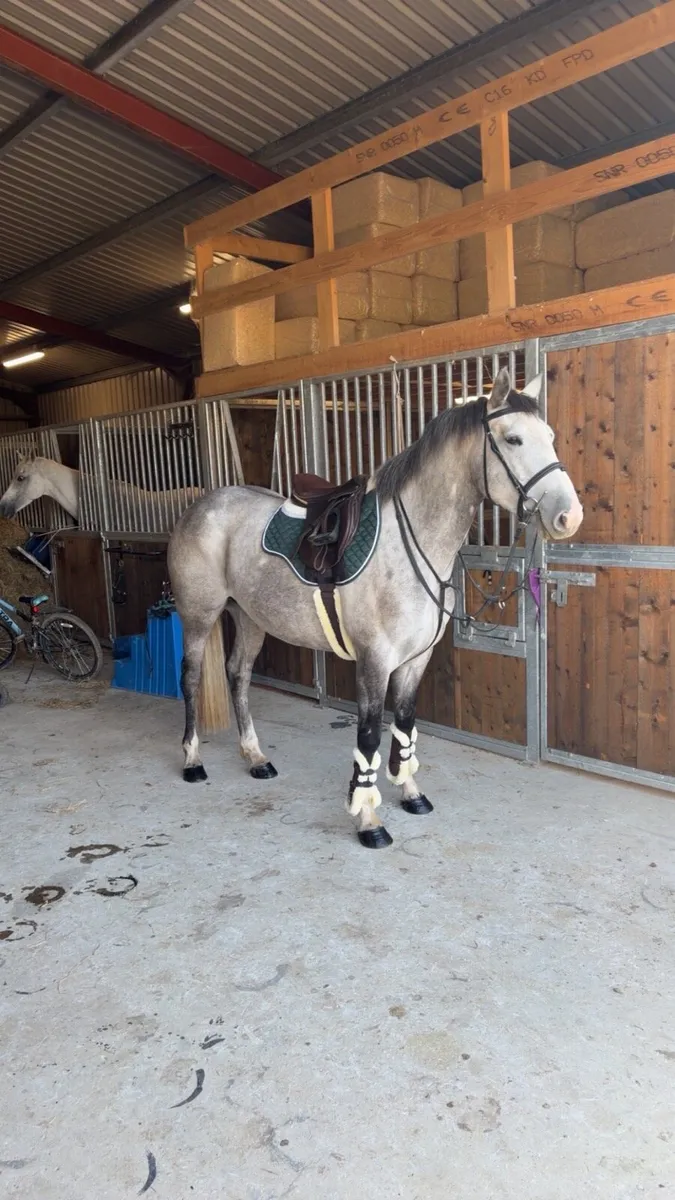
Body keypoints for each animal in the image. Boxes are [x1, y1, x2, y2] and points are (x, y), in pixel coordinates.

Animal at [167, 367, 583, 849]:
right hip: (199, 616)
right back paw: (193, 761)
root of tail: (200, 507)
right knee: (191, 678)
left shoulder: (416, 659)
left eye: (549, 436)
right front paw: (368, 820)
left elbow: (403, 724)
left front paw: (411, 793)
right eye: (514, 438)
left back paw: (255, 757)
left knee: (238, 675)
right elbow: (368, 738)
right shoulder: (374, 661)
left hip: (250, 618)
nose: (569, 517)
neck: (410, 544)